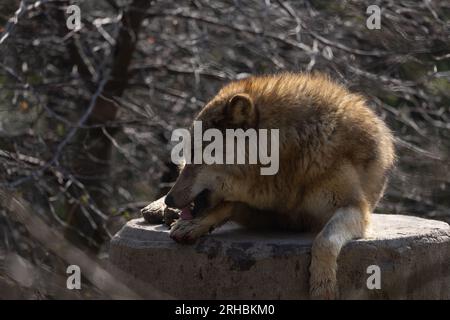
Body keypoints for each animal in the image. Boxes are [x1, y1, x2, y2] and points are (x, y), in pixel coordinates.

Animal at [141, 72, 394, 300]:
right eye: (189, 154)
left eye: (196, 153)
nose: (170, 199)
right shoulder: (270, 211)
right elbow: (227, 205)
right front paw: (192, 224)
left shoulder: (353, 207)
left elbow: (325, 240)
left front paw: (323, 285)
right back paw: (159, 210)